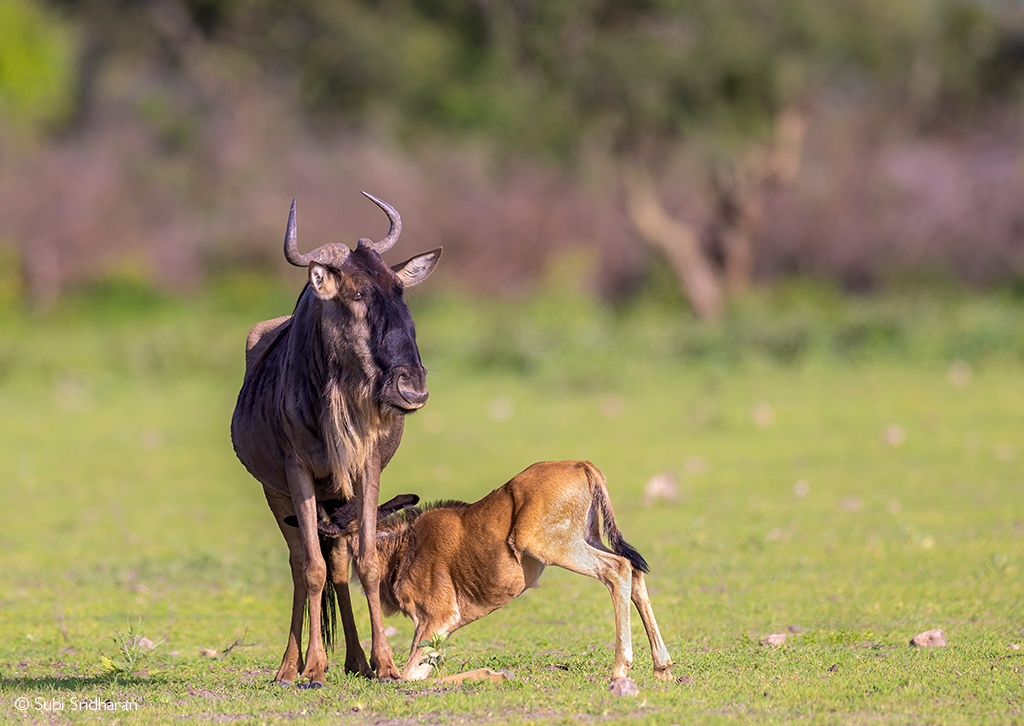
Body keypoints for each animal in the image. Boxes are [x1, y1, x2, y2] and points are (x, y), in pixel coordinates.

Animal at [231, 193, 441, 686]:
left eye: (398, 291)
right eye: (358, 294)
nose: (412, 389)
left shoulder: (366, 469)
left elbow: (366, 561)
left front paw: (385, 664)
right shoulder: (297, 474)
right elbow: (311, 567)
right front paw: (312, 667)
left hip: (337, 496)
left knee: (341, 562)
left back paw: (356, 661)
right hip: (276, 492)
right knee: (299, 562)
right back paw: (290, 667)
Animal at [302, 461, 674, 686]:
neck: (403, 547)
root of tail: (581, 465)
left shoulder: (437, 619)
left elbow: (409, 676)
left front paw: (494, 674)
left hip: (553, 546)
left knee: (618, 569)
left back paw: (620, 669)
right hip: (589, 538)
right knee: (634, 571)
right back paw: (662, 667)